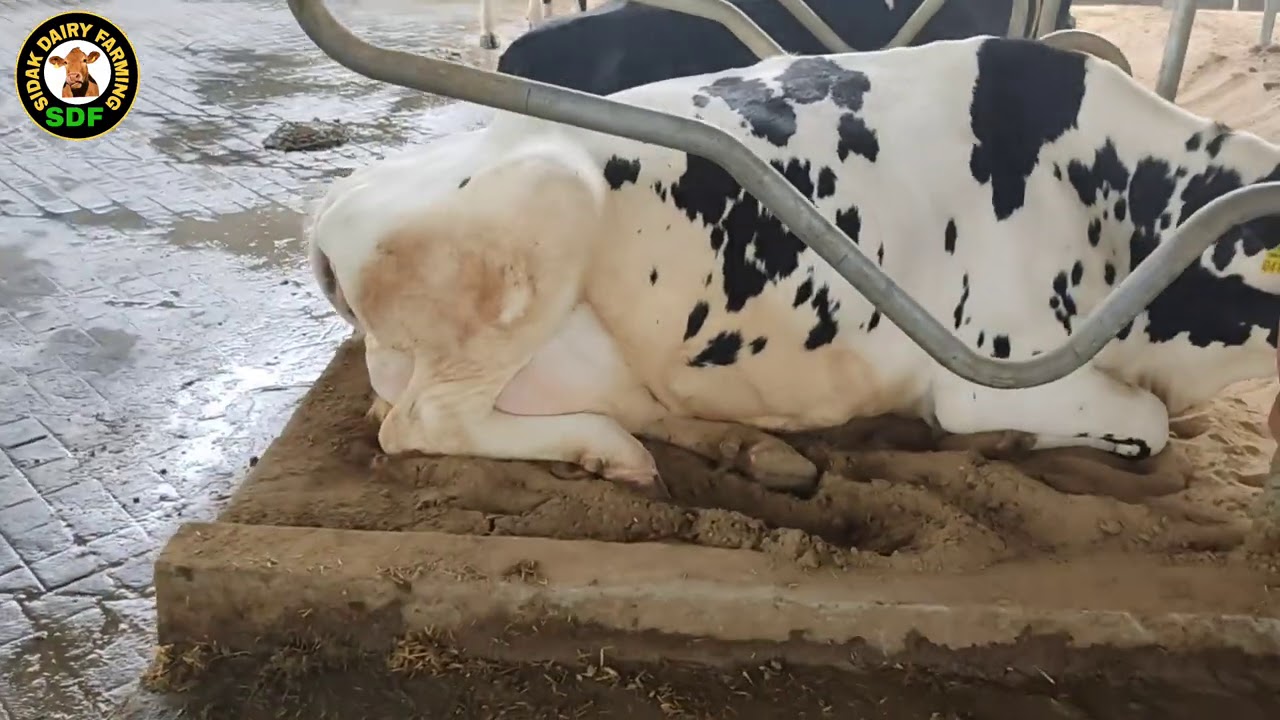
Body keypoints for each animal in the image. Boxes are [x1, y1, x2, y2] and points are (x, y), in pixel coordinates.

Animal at [307, 36, 1280, 499]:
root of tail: (339, 202)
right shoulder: (998, 369)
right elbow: (1147, 423)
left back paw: (754, 452)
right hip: (550, 197)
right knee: (424, 423)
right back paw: (613, 453)